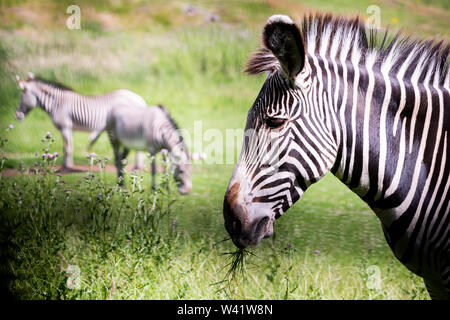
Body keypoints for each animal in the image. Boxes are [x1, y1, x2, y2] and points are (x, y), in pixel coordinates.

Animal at [14, 73, 146, 170]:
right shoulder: (70, 129)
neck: (57, 104)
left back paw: (137, 167)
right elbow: (66, 147)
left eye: (21, 97)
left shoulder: (65, 127)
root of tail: (139, 99)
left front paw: (67, 168)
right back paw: (137, 166)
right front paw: (65, 165)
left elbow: (67, 148)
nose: (17, 116)